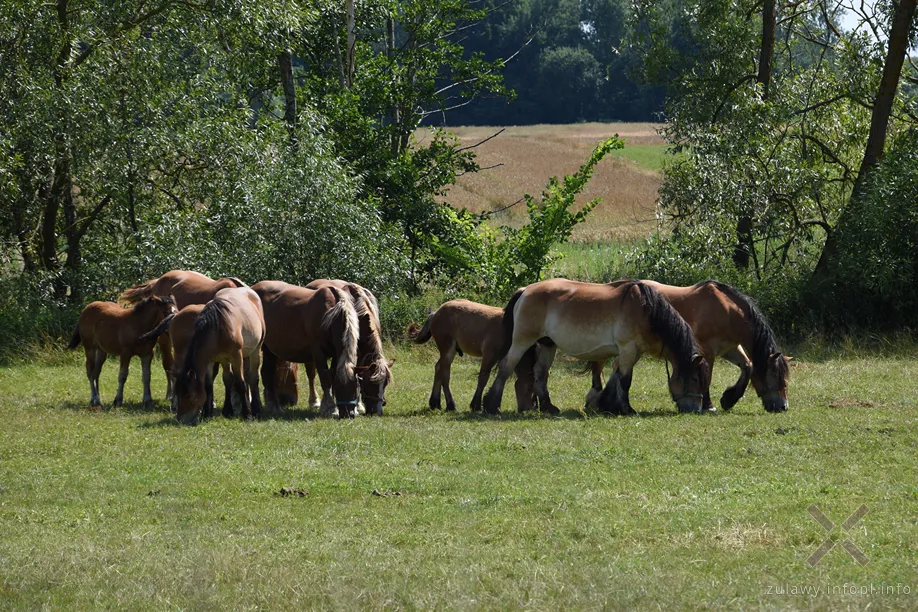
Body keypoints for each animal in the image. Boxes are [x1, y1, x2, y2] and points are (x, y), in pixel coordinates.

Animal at [172, 288, 266, 426]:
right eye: (177, 393)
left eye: (188, 395)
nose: (181, 420)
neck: (218, 329)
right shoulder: (211, 360)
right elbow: (208, 386)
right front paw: (207, 414)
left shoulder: (236, 356)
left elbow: (241, 383)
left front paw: (247, 415)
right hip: (225, 360)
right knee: (228, 378)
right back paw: (228, 410)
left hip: (256, 350)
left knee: (253, 378)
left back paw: (256, 409)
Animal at [308, 280, 394, 416]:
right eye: (371, 383)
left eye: (385, 384)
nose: (377, 411)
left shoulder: (360, 355)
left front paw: (358, 406)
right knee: (311, 375)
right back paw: (315, 402)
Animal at [408, 300, 540, 414]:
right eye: (530, 389)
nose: (532, 408)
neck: (510, 329)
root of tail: (436, 313)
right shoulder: (489, 355)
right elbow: (483, 378)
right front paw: (476, 405)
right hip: (448, 350)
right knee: (445, 373)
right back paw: (451, 405)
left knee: (438, 367)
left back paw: (435, 403)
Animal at [486, 278, 716, 416]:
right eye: (695, 379)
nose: (695, 410)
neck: (646, 312)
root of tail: (525, 290)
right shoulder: (628, 349)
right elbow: (625, 380)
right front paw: (626, 409)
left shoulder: (632, 353)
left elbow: (616, 377)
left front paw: (605, 404)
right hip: (522, 342)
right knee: (506, 367)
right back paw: (492, 405)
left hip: (548, 346)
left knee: (541, 374)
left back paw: (549, 407)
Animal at [592, 280, 796, 414]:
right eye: (775, 377)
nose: (783, 407)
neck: (727, 310)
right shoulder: (707, 352)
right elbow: (708, 377)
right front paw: (709, 405)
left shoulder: (730, 348)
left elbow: (748, 366)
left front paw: (729, 399)